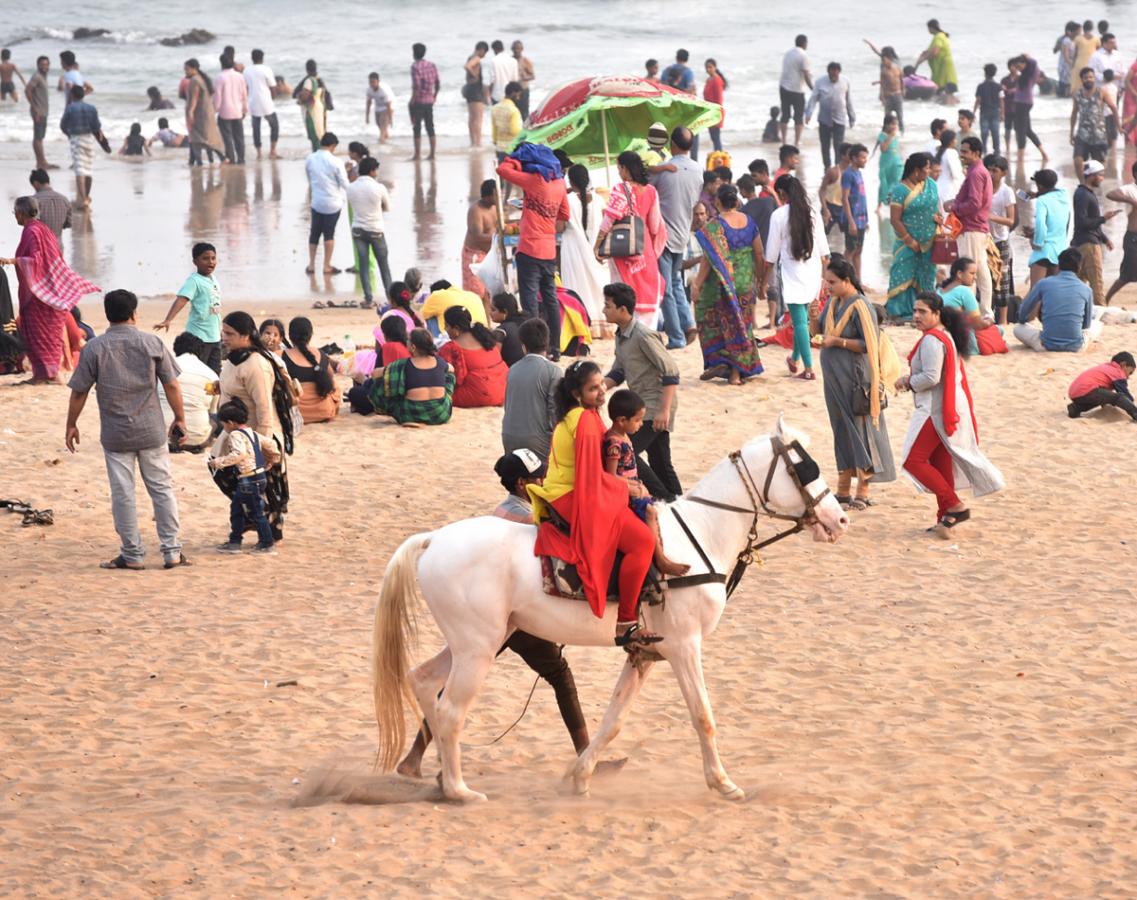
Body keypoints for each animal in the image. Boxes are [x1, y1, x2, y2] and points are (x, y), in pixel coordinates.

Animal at [372, 415, 845, 800]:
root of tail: (435, 538)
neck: (699, 535)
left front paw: (580, 775)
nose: (841, 519)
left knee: (423, 681)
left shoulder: (645, 653)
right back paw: (458, 789)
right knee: (450, 710)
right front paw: (722, 782)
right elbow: (702, 716)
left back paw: (432, 772)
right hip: (479, 649)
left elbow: (613, 720)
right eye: (805, 467)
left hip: (478, 642)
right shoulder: (684, 648)